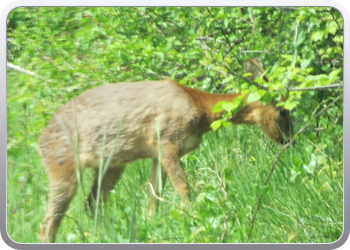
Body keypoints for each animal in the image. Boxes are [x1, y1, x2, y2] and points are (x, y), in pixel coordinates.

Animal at [39, 58, 294, 242]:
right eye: (283, 111)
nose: (289, 140)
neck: (201, 111)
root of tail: (40, 144)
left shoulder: (158, 154)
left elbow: (155, 195)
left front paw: (153, 226)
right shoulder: (166, 140)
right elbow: (183, 188)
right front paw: (195, 221)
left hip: (112, 165)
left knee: (91, 204)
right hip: (63, 166)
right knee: (48, 224)